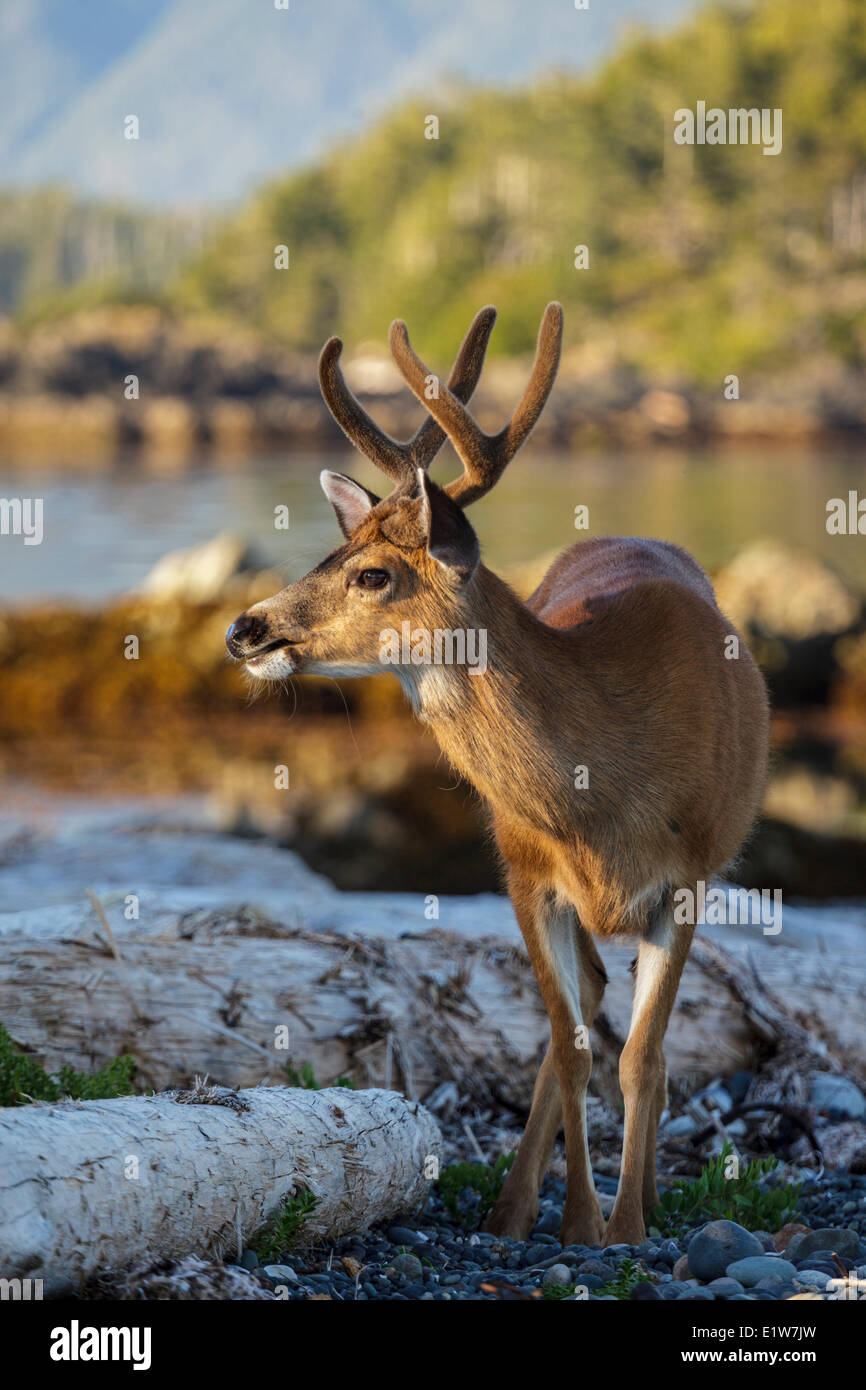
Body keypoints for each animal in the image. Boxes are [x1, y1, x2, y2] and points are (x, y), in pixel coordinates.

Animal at [226, 304, 767, 1251]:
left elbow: (642, 1056)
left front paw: (628, 1227)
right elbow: (572, 1045)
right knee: (578, 1014)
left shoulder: (690, 875)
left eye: (372, 572)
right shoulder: (525, 869)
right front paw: (580, 1224)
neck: (607, 791)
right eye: (331, 553)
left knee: (637, 1039)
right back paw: (513, 1207)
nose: (245, 629)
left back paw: (642, 1197)